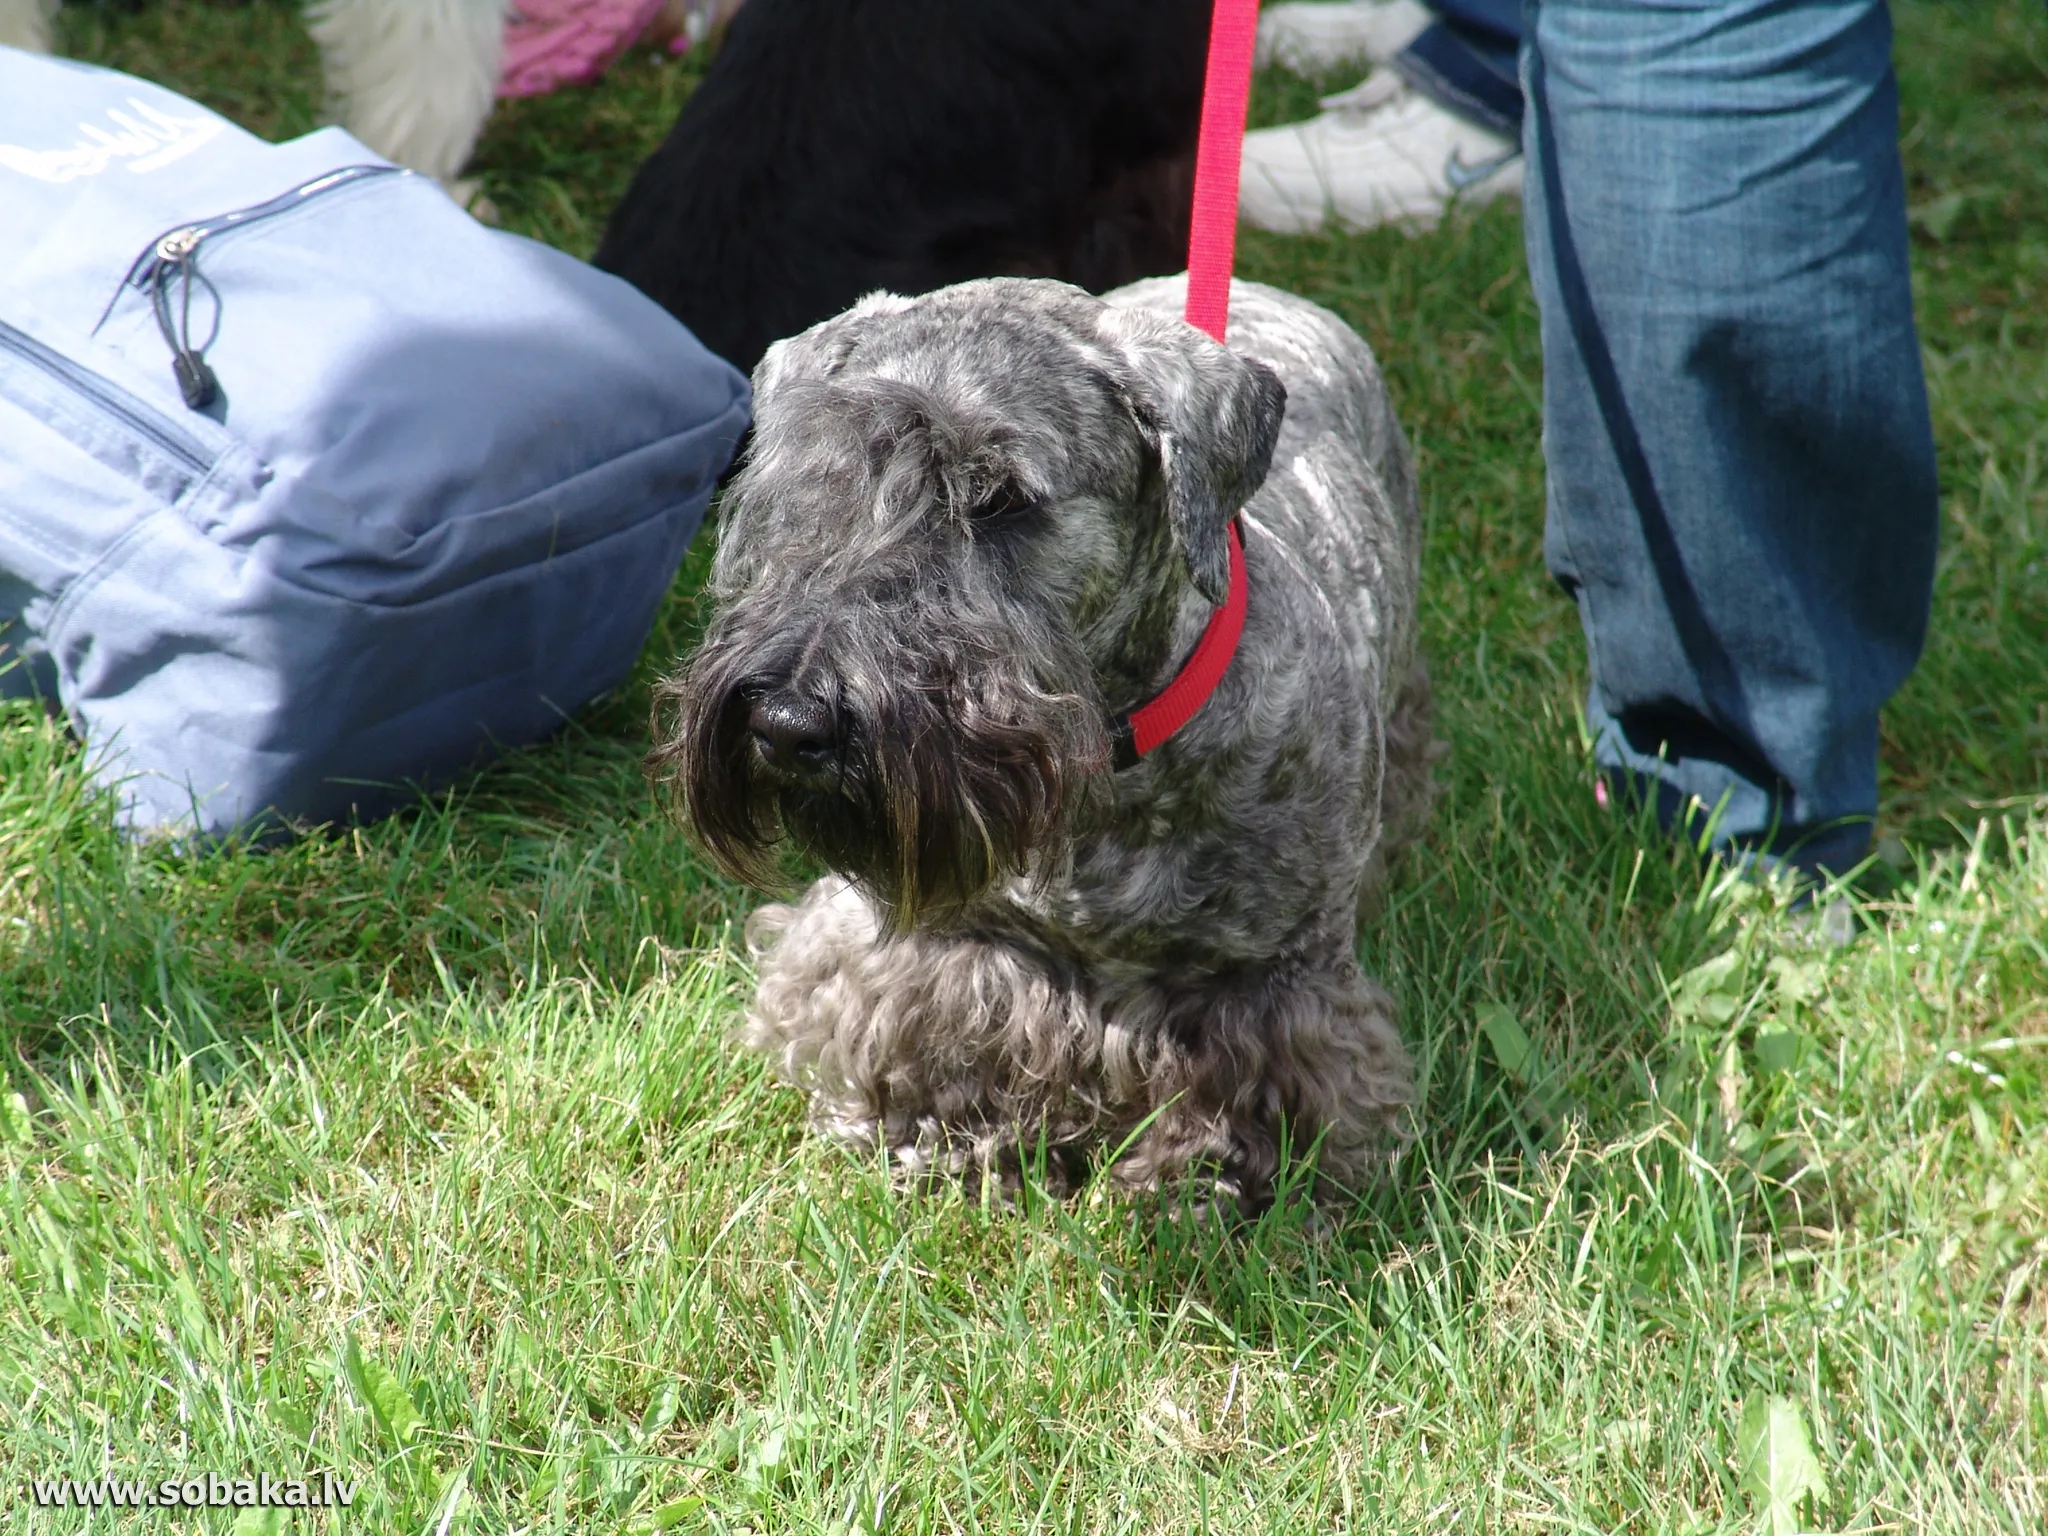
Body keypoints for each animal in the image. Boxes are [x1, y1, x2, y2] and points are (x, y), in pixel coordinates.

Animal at [655, 276, 1441, 1212]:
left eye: (1002, 498)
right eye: (826, 474)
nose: (788, 722)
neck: (1107, 767)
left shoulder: (1278, 980)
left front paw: (1217, 1184)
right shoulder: (931, 946)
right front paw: (940, 1138)